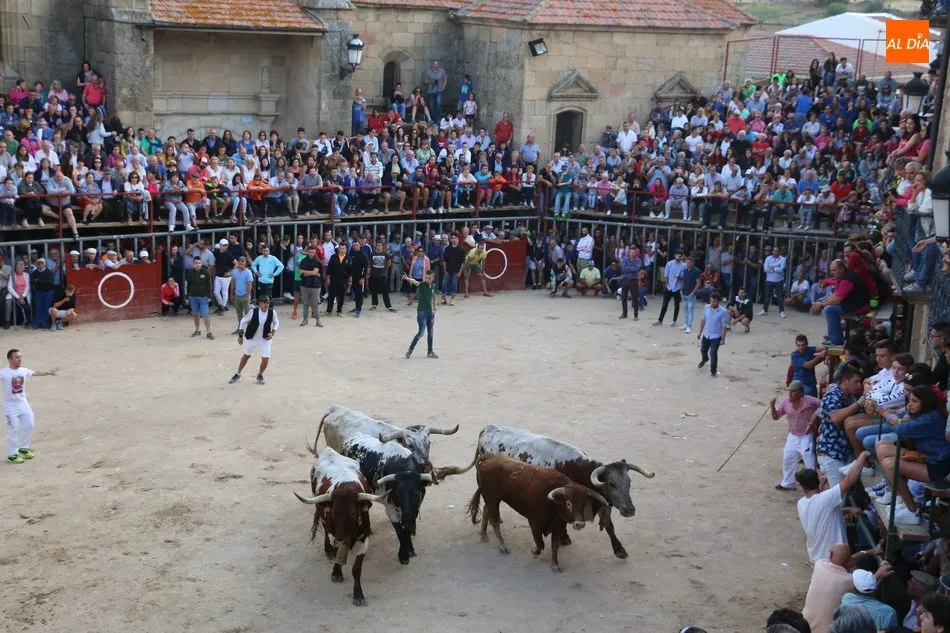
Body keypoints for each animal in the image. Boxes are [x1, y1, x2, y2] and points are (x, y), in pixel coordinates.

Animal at [294, 447, 389, 606]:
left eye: (353, 513)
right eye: (333, 512)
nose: (340, 539)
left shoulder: (363, 538)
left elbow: (357, 569)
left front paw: (358, 594)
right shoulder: (336, 533)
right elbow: (338, 552)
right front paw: (336, 572)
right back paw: (328, 550)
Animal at [312, 429, 470, 565]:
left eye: (418, 492)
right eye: (398, 492)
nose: (407, 517)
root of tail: (352, 439)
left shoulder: (414, 508)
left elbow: (407, 528)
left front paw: (410, 548)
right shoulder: (391, 509)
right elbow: (400, 531)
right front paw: (404, 555)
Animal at [466, 453, 609, 572]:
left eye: (584, 503)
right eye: (568, 503)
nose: (579, 524)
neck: (553, 504)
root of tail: (489, 456)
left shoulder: (559, 526)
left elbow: (554, 545)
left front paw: (555, 565)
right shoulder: (534, 522)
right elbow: (540, 543)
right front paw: (534, 551)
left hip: (492, 498)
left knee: (486, 511)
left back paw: (484, 535)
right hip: (492, 498)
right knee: (495, 521)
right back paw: (502, 546)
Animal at [471, 424, 655, 559]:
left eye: (629, 482)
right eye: (612, 484)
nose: (629, 510)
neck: (577, 468)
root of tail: (488, 428)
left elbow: (609, 525)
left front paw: (619, 549)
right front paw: (564, 538)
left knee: (488, 507)